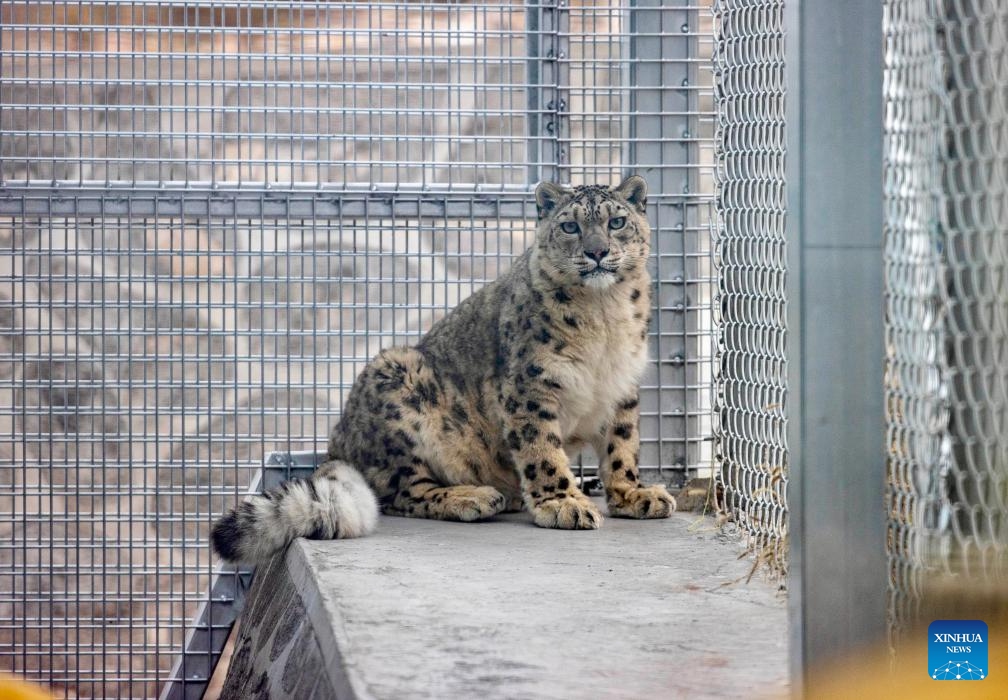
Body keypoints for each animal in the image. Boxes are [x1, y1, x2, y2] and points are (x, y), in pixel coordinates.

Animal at [212, 175, 676, 563]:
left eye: (617, 221)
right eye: (570, 227)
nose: (596, 251)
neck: (604, 316)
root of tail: (338, 442)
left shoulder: (622, 387)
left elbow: (622, 446)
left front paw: (633, 494)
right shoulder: (531, 386)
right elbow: (541, 449)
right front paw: (562, 503)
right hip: (400, 385)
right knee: (404, 492)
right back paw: (473, 498)